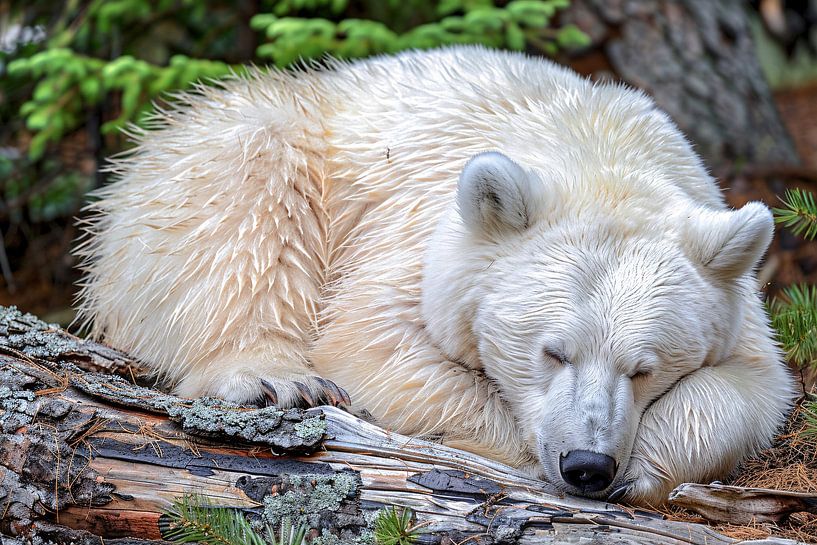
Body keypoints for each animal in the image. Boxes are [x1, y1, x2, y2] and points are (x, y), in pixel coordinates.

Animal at [74, 46, 797, 506]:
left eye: (644, 368)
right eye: (552, 351)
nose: (588, 466)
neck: (594, 148)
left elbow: (753, 388)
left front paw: (642, 469)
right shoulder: (418, 234)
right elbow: (372, 341)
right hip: (247, 148)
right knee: (242, 201)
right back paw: (269, 377)